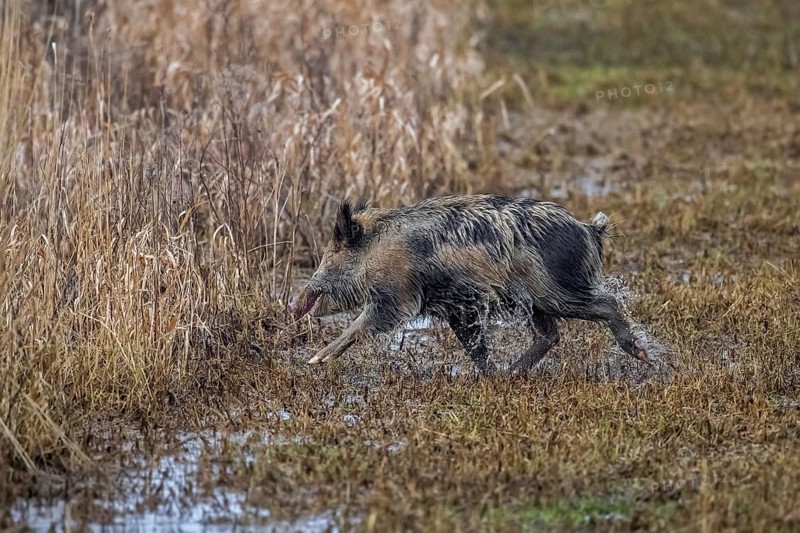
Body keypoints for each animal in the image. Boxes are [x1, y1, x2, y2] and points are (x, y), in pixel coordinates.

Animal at [290, 195, 649, 372]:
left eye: (330, 256)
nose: (292, 303)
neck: (376, 248)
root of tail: (590, 229)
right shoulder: (457, 307)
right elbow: (474, 346)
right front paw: (486, 374)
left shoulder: (398, 297)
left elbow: (361, 324)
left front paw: (315, 360)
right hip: (533, 301)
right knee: (549, 335)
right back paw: (509, 373)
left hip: (555, 290)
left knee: (607, 303)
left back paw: (643, 355)